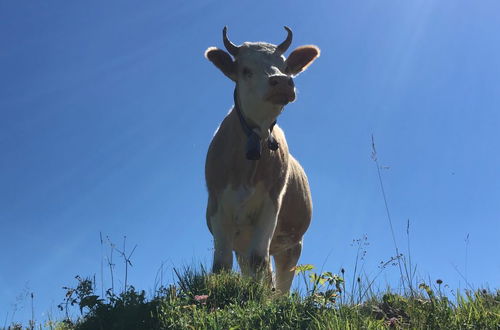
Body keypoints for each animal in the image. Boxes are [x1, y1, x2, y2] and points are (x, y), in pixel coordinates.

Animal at [204, 26, 318, 294]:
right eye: (245, 70)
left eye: (285, 66)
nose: (282, 82)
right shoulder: (217, 206)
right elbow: (221, 264)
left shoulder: (271, 205)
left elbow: (259, 259)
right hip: (243, 242)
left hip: (292, 245)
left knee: (280, 279)